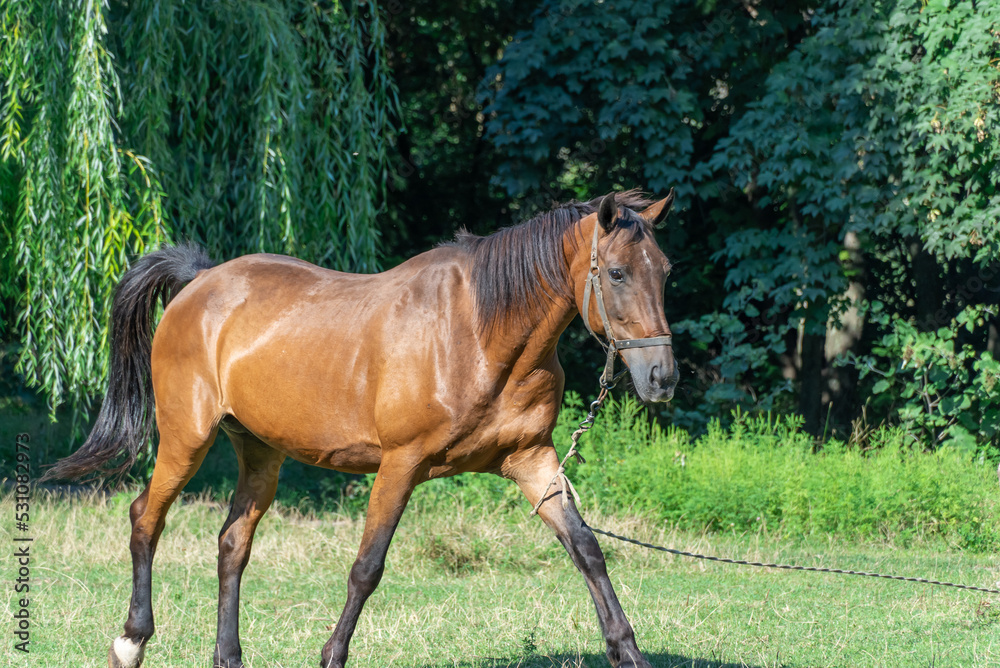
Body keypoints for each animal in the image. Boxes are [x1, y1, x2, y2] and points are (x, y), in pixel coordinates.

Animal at [44, 189, 679, 668]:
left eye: (666, 272)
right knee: (145, 520)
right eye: (617, 273)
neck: (479, 332)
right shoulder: (400, 465)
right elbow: (366, 568)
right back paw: (130, 641)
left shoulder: (532, 461)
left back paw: (228, 656)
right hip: (185, 439)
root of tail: (199, 284)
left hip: (261, 454)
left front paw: (628, 651)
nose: (662, 377)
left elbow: (588, 550)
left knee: (232, 544)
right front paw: (331, 655)